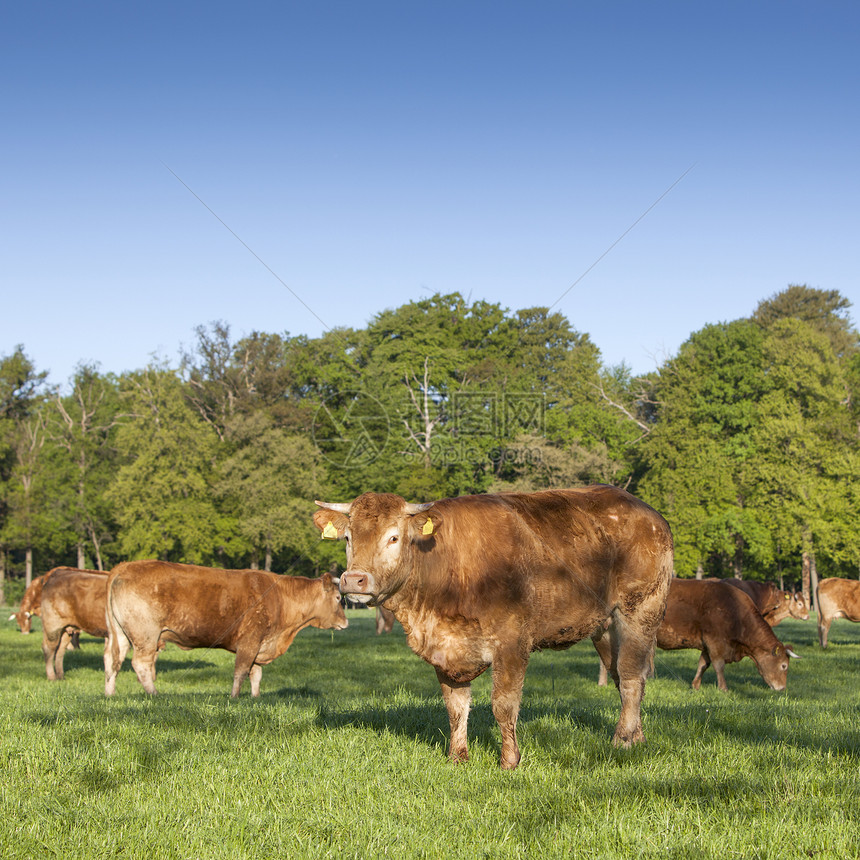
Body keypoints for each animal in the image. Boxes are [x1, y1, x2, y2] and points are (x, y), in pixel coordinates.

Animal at [103, 564, 350, 700]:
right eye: (338, 597)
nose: (345, 622)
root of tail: (125, 566)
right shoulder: (249, 641)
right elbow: (241, 671)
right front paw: (234, 697)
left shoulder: (260, 644)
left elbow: (256, 673)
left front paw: (255, 697)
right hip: (145, 635)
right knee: (140, 664)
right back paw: (155, 694)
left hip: (121, 635)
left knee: (112, 661)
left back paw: (110, 693)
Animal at [312, 488, 676, 768]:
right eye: (348, 538)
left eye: (393, 537)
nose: (353, 580)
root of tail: (647, 512)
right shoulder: (446, 648)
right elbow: (455, 707)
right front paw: (457, 757)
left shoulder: (512, 642)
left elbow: (503, 704)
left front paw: (509, 760)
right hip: (605, 626)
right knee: (624, 677)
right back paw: (638, 736)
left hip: (640, 610)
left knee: (631, 677)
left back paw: (623, 739)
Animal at [656, 576, 796, 692]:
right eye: (784, 666)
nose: (782, 688)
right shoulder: (715, 642)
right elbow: (719, 665)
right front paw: (723, 688)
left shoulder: (707, 645)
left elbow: (703, 664)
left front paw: (695, 686)